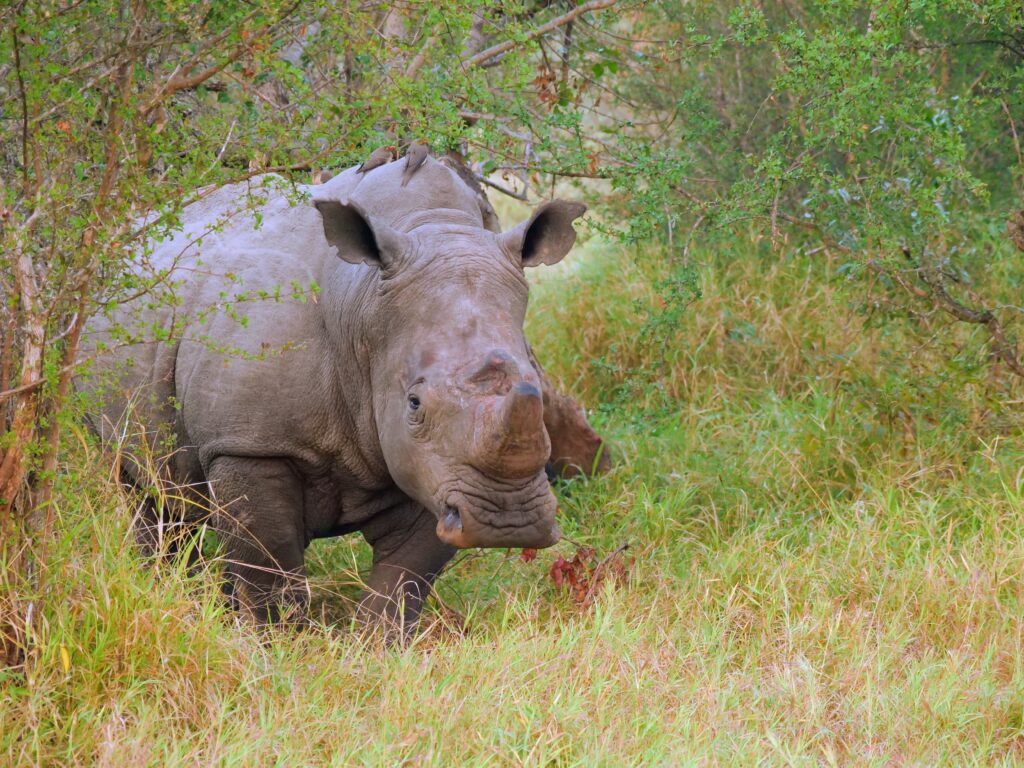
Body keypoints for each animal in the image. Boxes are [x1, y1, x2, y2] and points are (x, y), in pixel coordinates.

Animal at [81, 157, 602, 632]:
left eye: (536, 386)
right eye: (415, 404)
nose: (507, 521)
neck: (363, 307)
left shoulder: (436, 468)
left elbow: (404, 579)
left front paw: (377, 647)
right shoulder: (248, 444)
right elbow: (269, 565)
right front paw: (279, 646)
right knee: (148, 492)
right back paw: (171, 592)